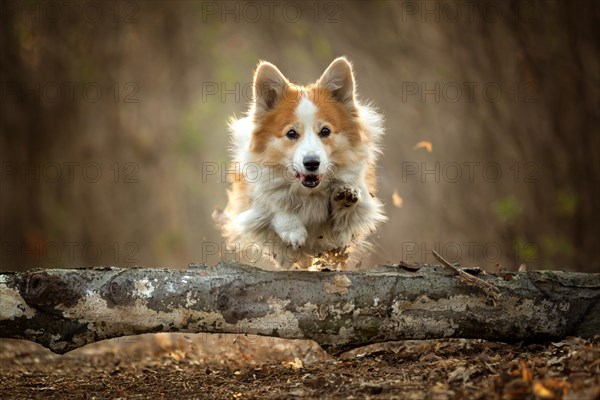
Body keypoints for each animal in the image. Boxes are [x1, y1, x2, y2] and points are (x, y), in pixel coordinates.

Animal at [213, 57, 386, 268]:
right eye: (291, 133)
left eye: (325, 131)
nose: (311, 163)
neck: (309, 192)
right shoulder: (252, 201)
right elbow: (273, 202)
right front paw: (292, 230)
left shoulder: (357, 214)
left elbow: (343, 224)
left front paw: (345, 198)